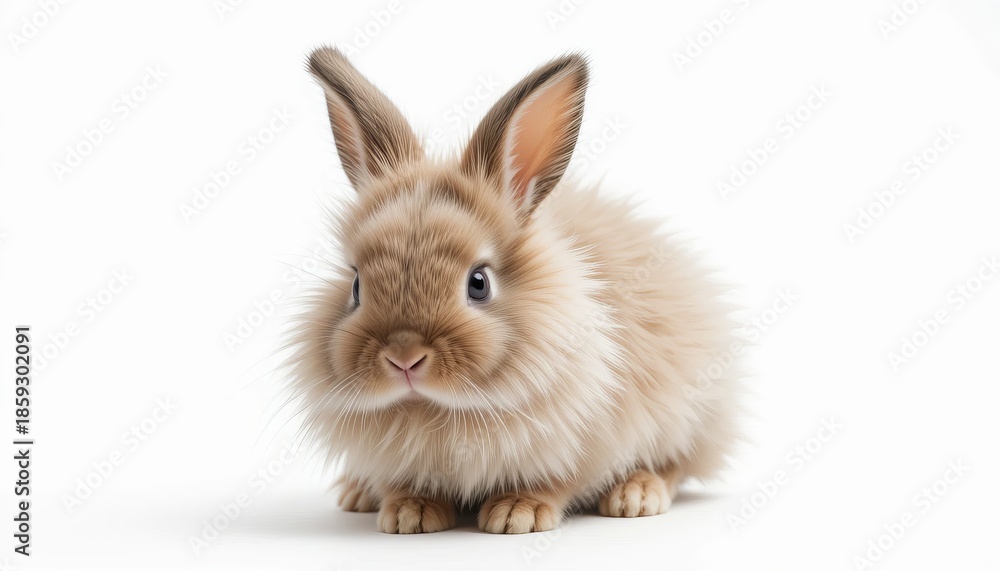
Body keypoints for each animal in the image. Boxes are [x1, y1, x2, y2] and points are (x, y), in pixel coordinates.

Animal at [286, 46, 742, 534]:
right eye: (355, 285)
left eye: (479, 283)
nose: (403, 358)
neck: (440, 408)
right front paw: (411, 513)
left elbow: (557, 481)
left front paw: (516, 514)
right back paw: (355, 494)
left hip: (688, 412)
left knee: (676, 462)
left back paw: (635, 494)